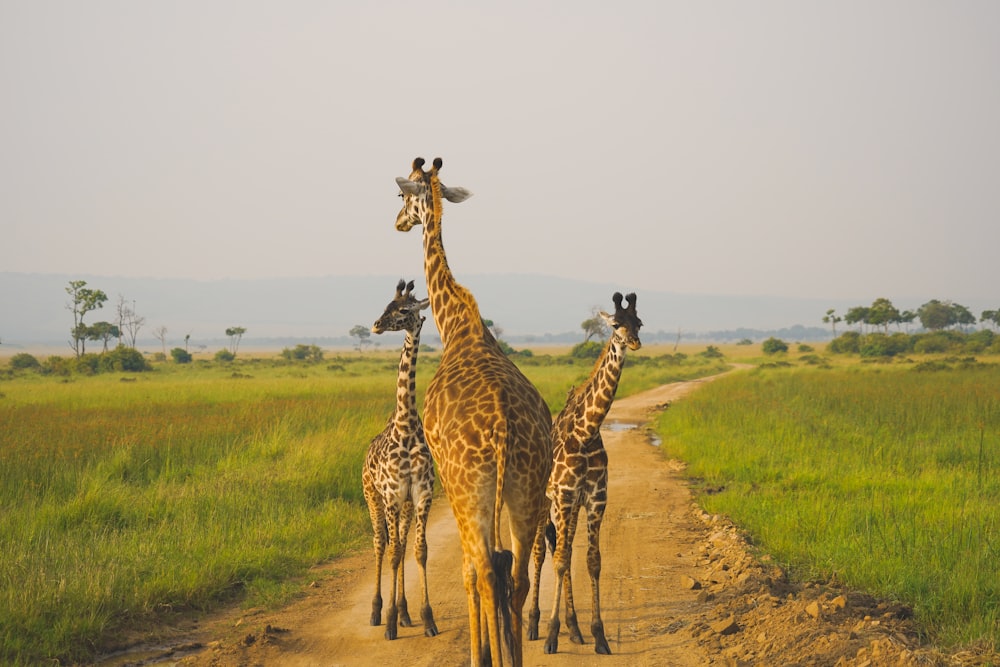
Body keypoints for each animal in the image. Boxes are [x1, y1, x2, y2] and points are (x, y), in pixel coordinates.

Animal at [392, 158, 552, 667]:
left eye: (401, 197)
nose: (398, 222)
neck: (458, 325)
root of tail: (502, 430)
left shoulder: (446, 480)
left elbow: (465, 571)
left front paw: (479, 653)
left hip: (471, 491)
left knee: (483, 570)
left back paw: (491, 658)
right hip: (526, 489)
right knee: (515, 575)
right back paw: (514, 657)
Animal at [528, 294, 644, 656]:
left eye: (639, 322)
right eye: (616, 324)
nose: (634, 342)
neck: (586, 432)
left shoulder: (594, 498)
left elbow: (591, 560)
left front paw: (599, 635)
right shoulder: (566, 495)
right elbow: (560, 559)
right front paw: (551, 635)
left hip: (569, 507)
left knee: (561, 550)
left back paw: (575, 628)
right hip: (545, 502)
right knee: (542, 553)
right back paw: (534, 624)